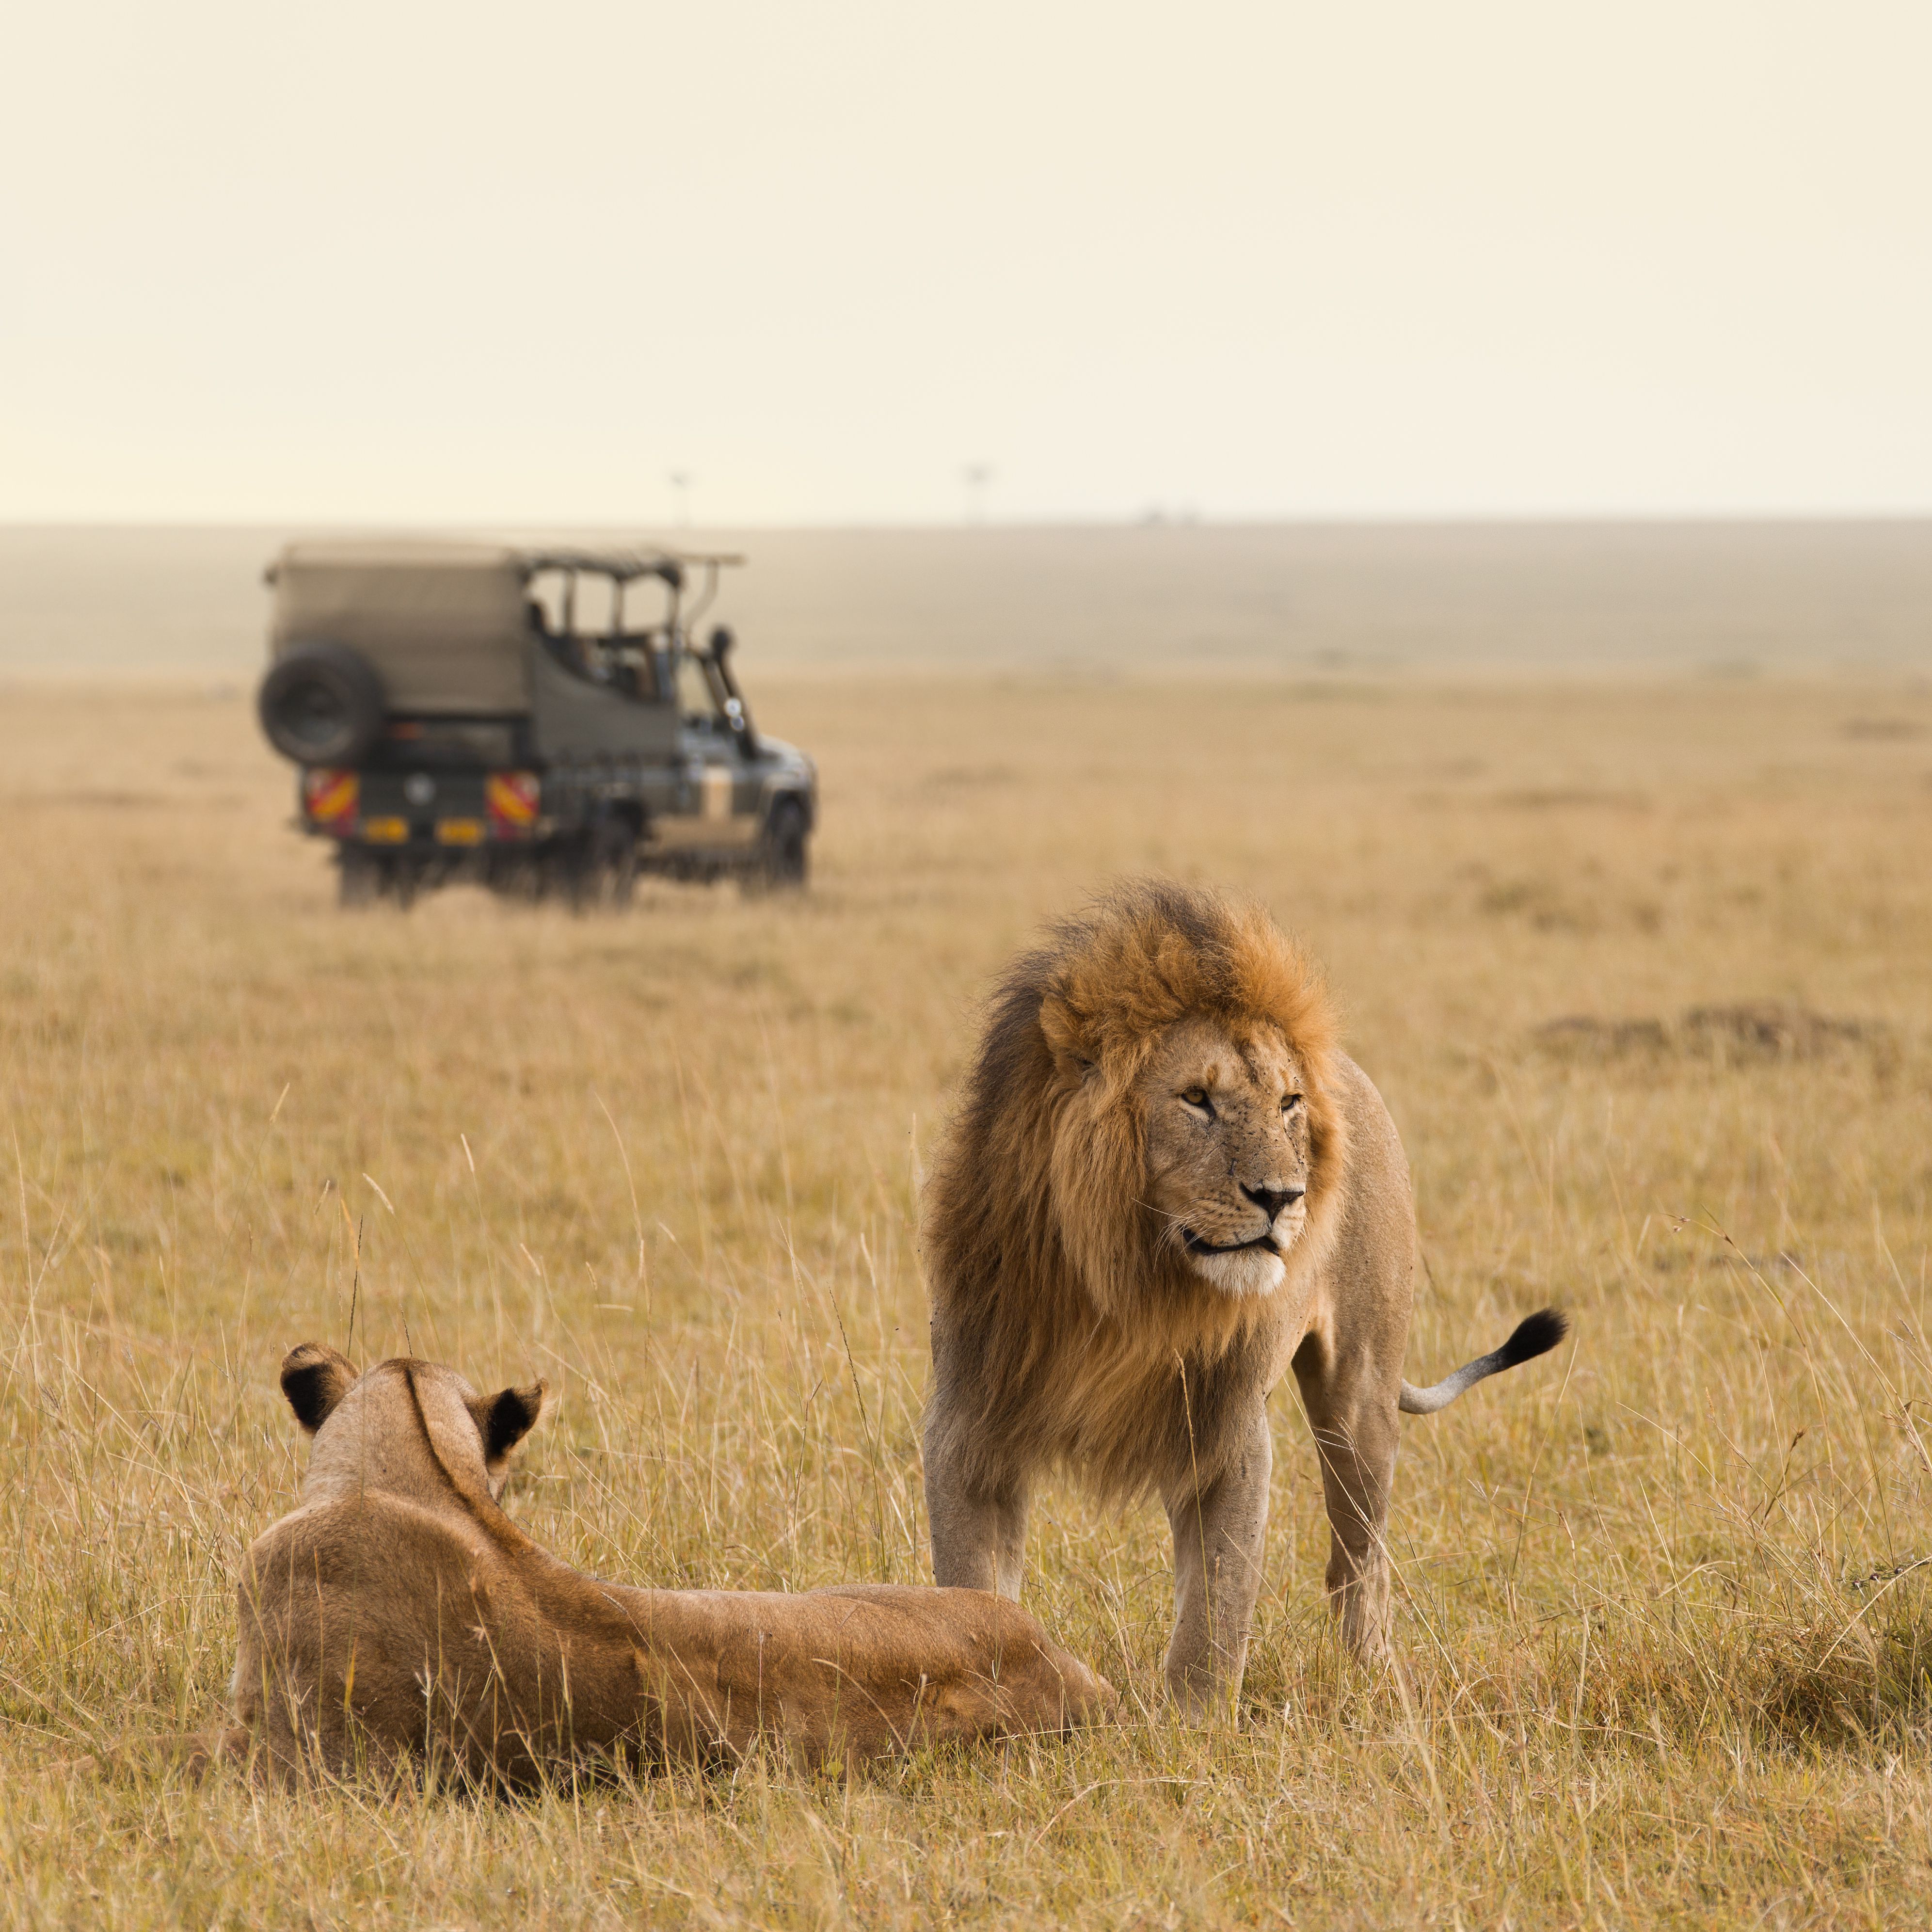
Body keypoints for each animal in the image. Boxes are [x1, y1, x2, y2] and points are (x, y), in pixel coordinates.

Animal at [921, 879, 1566, 1715]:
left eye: (1287, 1103)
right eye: (1196, 1098)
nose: (1282, 1196)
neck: (1125, 1285)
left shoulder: (1226, 1432)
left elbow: (1216, 1609)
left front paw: (1192, 1727)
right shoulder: (971, 1422)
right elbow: (972, 1589)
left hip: (1360, 1397)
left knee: (1357, 1562)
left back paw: (1377, 1683)